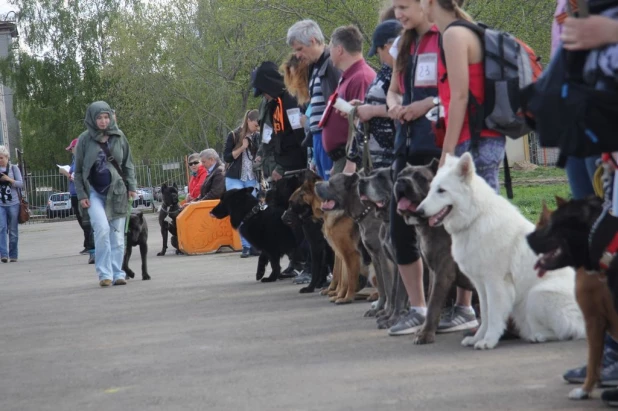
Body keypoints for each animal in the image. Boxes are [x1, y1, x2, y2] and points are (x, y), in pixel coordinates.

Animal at [312, 174, 370, 306]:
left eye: (331, 183)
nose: (315, 184)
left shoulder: (350, 254)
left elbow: (349, 278)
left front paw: (347, 297)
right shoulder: (342, 254)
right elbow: (343, 278)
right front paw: (339, 295)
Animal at [392, 161, 474, 344]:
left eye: (420, 177)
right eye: (400, 174)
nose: (401, 181)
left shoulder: (443, 273)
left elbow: (433, 304)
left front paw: (426, 334)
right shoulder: (433, 271)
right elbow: (430, 299)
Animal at [414, 154, 584, 350]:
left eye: (441, 191)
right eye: (431, 189)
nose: (419, 211)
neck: (476, 217)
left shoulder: (495, 283)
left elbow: (494, 316)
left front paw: (488, 341)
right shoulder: (481, 286)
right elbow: (485, 315)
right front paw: (477, 338)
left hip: (537, 295)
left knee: (571, 331)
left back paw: (538, 336)